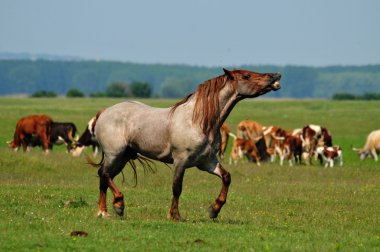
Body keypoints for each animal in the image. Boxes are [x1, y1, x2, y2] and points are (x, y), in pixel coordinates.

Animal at [92, 69, 282, 220]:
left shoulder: (207, 162)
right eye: (246, 76)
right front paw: (175, 215)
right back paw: (118, 205)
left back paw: (104, 212)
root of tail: (104, 113)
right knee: (105, 174)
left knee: (104, 177)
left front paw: (214, 210)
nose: (275, 76)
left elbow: (226, 177)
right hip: (114, 154)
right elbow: (177, 188)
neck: (198, 121)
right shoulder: (180, 161)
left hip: (123, 157)